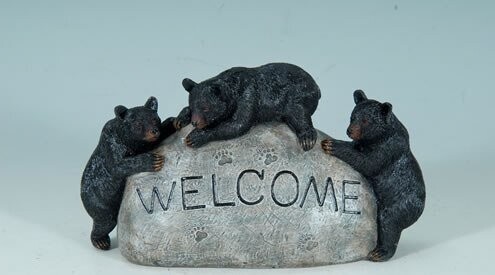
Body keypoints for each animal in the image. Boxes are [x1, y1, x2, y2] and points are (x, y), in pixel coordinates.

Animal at [80, 97, 176, 250]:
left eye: (155, 119)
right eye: (138, 123)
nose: (154, 131)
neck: (128, 139)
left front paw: (174, 121)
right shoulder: (111, 142)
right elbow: (117, 166)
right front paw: (153, 160)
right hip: (95, 199)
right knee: (105, 220)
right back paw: (100, 240)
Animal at [174, 62, 322, 151]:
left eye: (206, 108)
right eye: (193, 106)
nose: (195, 122)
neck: (233, 89)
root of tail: (317, 87)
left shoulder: (249, 95)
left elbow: (238, 124)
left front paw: (196, 136)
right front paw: (180, 119)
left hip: (299, 95)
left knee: (298, 112)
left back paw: (307, 138)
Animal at [322, 91, 426, 264]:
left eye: (365, 121)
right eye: (352, 116)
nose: (350, 131)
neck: (379, 136)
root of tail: (421, 208)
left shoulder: (389, 147)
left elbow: (368, 163)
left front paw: (332, 144)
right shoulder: (365, 143)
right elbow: (358, 150)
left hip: (402, 204)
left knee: (388, 222)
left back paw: (380, 253)